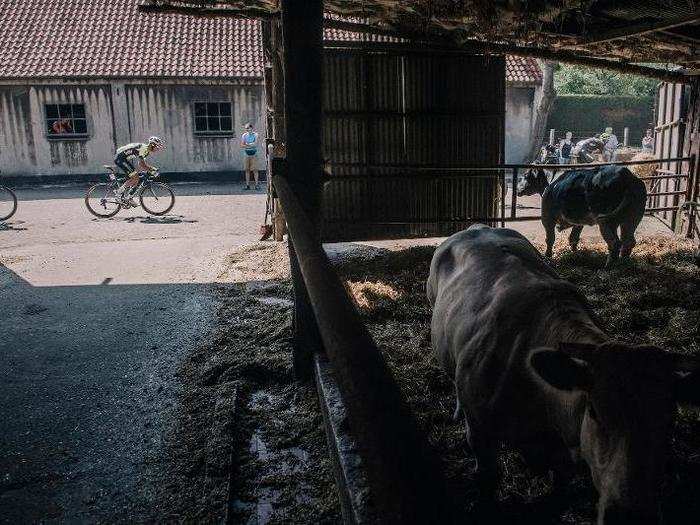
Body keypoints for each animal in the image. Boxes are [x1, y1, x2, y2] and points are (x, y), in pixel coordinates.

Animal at [426, 223, 700, 520]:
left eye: (669, 421)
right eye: (594, 411)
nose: (631, 513)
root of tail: (478, 227)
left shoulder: (563, 455)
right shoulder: (480, 433)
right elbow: (488, 477)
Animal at [516, 166, 644, 266]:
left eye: (526, 175)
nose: (517, 188)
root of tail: (627, 176)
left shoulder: (547, 218)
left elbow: (550, 239)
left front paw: (547, 256)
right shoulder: (578, 221)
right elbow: (573, 238)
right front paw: (575, 254)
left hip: (606, 221)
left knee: (615, 243)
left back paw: (608, 267)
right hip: (631, 219)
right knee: (628, 241)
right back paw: (624, 263)